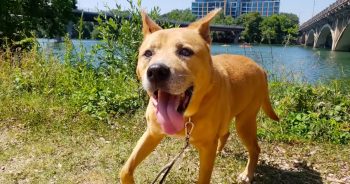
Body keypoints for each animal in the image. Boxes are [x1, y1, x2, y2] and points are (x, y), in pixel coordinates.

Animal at [120, 9, 278, 183]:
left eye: (185, 51)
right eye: (148, 53)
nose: (156, 71)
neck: (188, 114)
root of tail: (260, 68)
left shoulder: (207, 147)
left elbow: (203, 177)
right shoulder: (152, 133)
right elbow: (125, 169)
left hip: (245, 122)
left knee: (255, 148)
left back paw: (247, 174)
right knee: (226, 133)